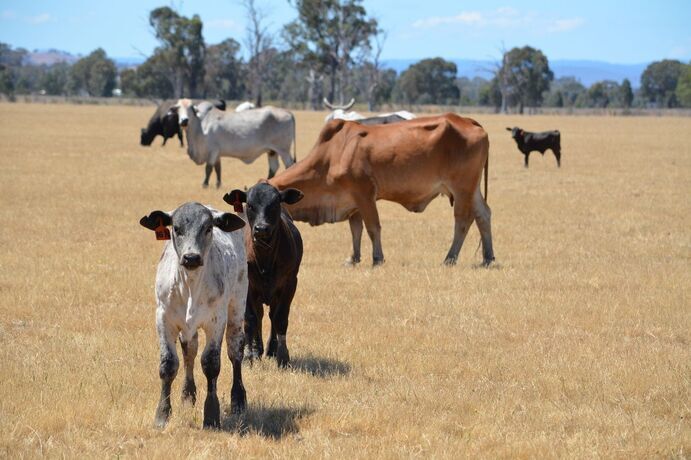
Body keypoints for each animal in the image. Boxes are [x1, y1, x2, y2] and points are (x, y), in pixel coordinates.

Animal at [139, 202, 248, 429]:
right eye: (176, 228)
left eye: (208, 228)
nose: (191, 257)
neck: (189, 285)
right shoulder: (163, 318)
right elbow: (169, 364)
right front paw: (162, 415)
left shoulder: (216, 321)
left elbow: (211, 364)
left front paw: (212, 415)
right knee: (189, 352)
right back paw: (188, 395)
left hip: (237, 307)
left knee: (235, 351)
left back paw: (239, 399)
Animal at [223, 182, 304, 368]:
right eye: (250, 205)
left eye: (274, 204)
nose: (261, 228)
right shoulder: (247, 286)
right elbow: (250, 319)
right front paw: (248, 355)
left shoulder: (289, 283)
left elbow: (280, 318)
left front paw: (283, 356)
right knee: (258, 316)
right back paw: (256, 349)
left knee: (271, 315)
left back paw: (270, 349)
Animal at [269, 114, 495, 267]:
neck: (332, 154)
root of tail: (468, 121)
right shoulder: (353, 201)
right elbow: (356, 230)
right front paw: (353, 258)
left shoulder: (365, 194)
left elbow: (372, 227)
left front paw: (377, 258)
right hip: (472, 189)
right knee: (483, 215)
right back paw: (488, 258)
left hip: (462, 189)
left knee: (463, 221)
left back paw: (449, 258)